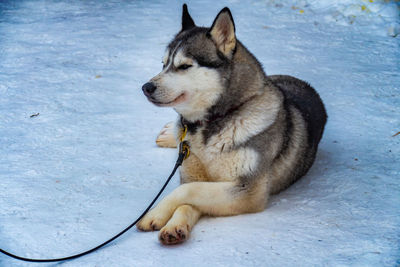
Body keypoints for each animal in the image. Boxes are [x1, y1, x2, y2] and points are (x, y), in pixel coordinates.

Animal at [138, 4, 324, 247]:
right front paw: (173, 223)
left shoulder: (248, 191)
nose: (146, 87)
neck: (211, 123)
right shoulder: (192, 171)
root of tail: (305, 84)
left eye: (184, 66)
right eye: (163, 64)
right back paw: (171, 132)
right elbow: (189, 193)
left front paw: (156, 214)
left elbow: (187, 192)